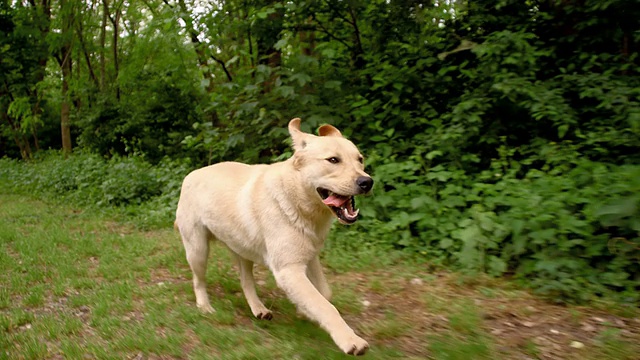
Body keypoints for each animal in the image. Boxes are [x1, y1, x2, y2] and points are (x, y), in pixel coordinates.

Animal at [175, 118, 376, 354]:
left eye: (360, 159)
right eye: (333, 160)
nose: (367, 182)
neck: (297, 203)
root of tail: (190, 174)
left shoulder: (310, 258)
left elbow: (324, 294)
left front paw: (303, 311)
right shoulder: (289, 270)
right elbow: (325, 306)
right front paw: (349, 339)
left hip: (242, 250)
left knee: (246, 282)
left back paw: (258, 309)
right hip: (197, 250)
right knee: (198, 281)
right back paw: (205, 306)